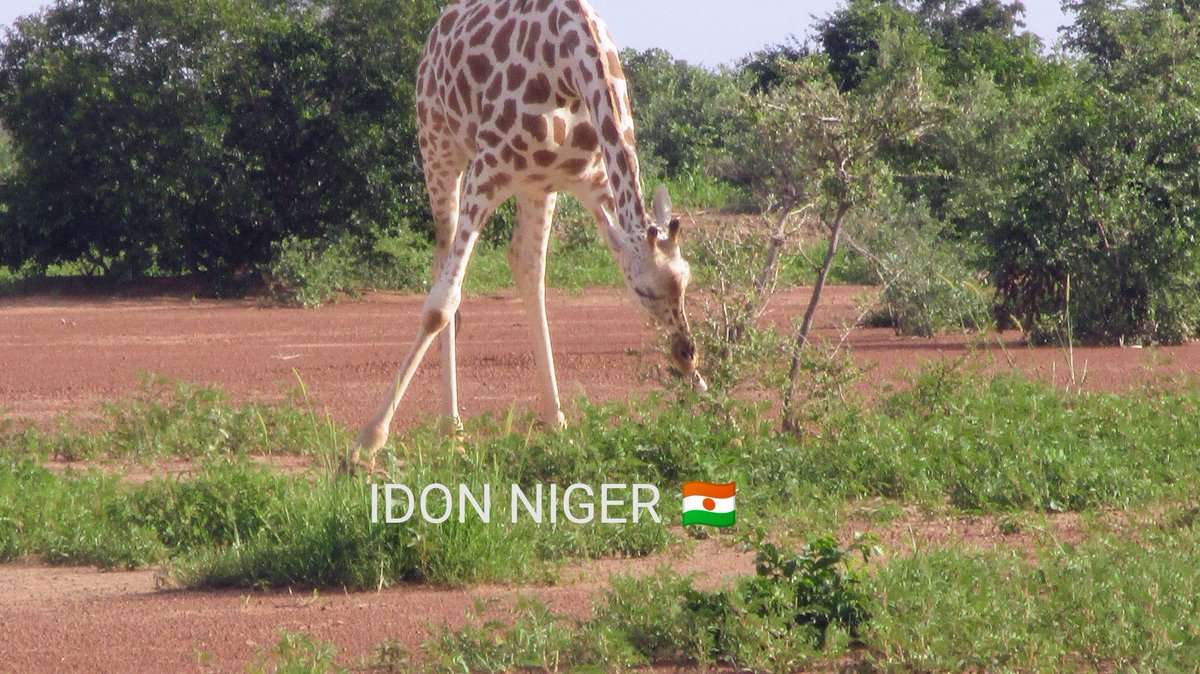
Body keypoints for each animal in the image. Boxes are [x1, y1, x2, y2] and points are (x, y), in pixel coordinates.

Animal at [355, 0, 706, 460]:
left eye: (686, 282)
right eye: (643, 292)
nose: (686, 356)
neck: (569, 67)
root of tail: (438, 28)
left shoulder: (588, 182)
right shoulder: (487, 173)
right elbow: (440, 305)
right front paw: (367, 441)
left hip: (536, 187)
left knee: (526, 267)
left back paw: (554, 421)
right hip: (439, 147)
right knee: (443, 264)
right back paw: (452, 426)